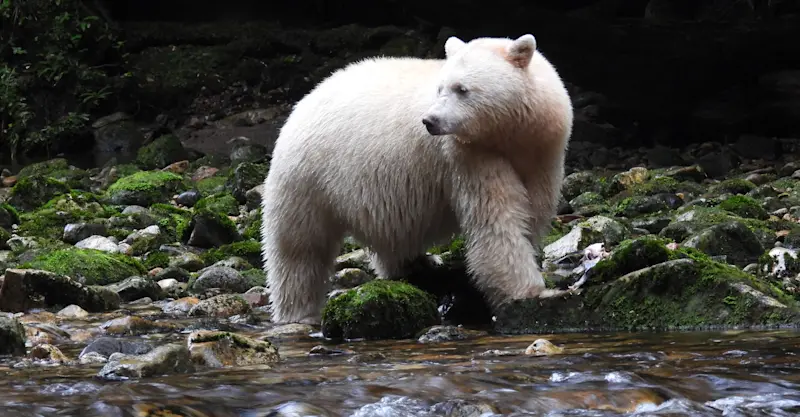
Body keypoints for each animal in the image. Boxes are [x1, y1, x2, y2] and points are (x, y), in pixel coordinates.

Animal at [260, 33, 574, 325]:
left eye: (462, 89)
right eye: (440, 87)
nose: (430, 121)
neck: (510, 135)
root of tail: (308, 96)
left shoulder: (543, 150)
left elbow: (534, 209)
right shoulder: (468, 155)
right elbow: (496, 220)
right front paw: (529, 292)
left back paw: (418, 267)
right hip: (309, 173)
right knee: (299, 247)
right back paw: (298, 311)